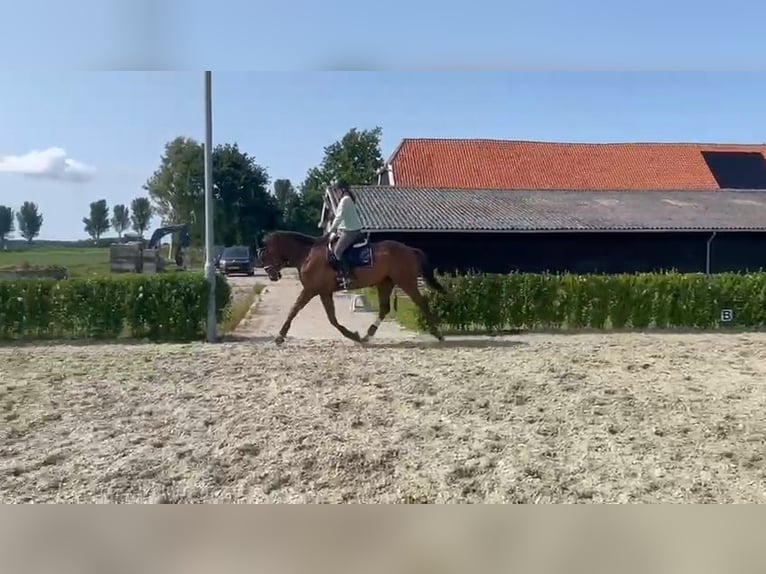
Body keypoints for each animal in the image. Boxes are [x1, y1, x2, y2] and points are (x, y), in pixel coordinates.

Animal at [255, 230, 446, 345]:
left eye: (264, 255)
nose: (272, 276)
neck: (307, 254)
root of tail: (409, 249)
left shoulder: (310, 290)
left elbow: (294, 309)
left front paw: (280, 336)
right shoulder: (324, 292)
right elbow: (332, 318)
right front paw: (353, 335)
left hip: (405, 281)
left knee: (421, 302)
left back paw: (438, 334)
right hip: (385, 283)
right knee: (384, 308)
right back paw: (367, 335)